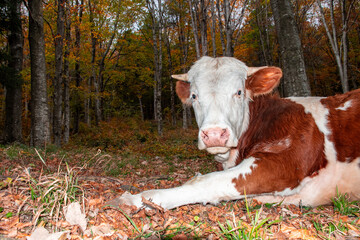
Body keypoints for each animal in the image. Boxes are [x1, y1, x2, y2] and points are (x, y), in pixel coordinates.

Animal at [115, 56, 360, 210]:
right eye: (194, 96)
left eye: (239, 92)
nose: (214, 134)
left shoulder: (289, 162)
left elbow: (205, 181)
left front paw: (137, 199)